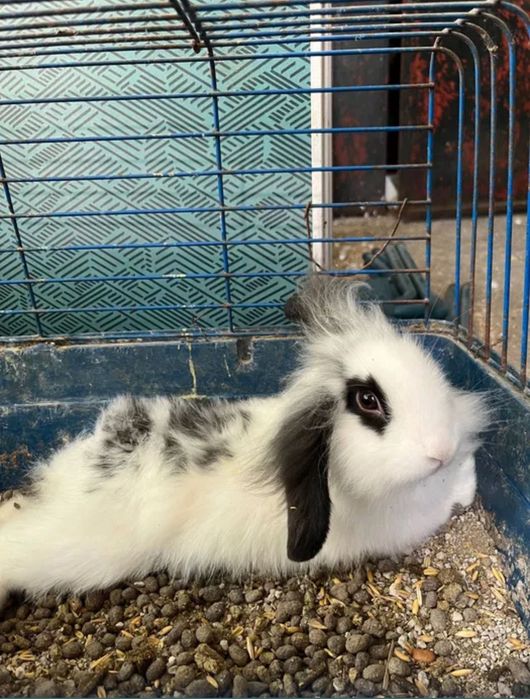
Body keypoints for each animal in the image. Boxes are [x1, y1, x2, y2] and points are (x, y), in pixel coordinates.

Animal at [0, 276, 487, 610]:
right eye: (368, 401)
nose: (441, 449)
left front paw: (466, 471)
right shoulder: (408, 522)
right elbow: (443, 505)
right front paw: (463, 486)